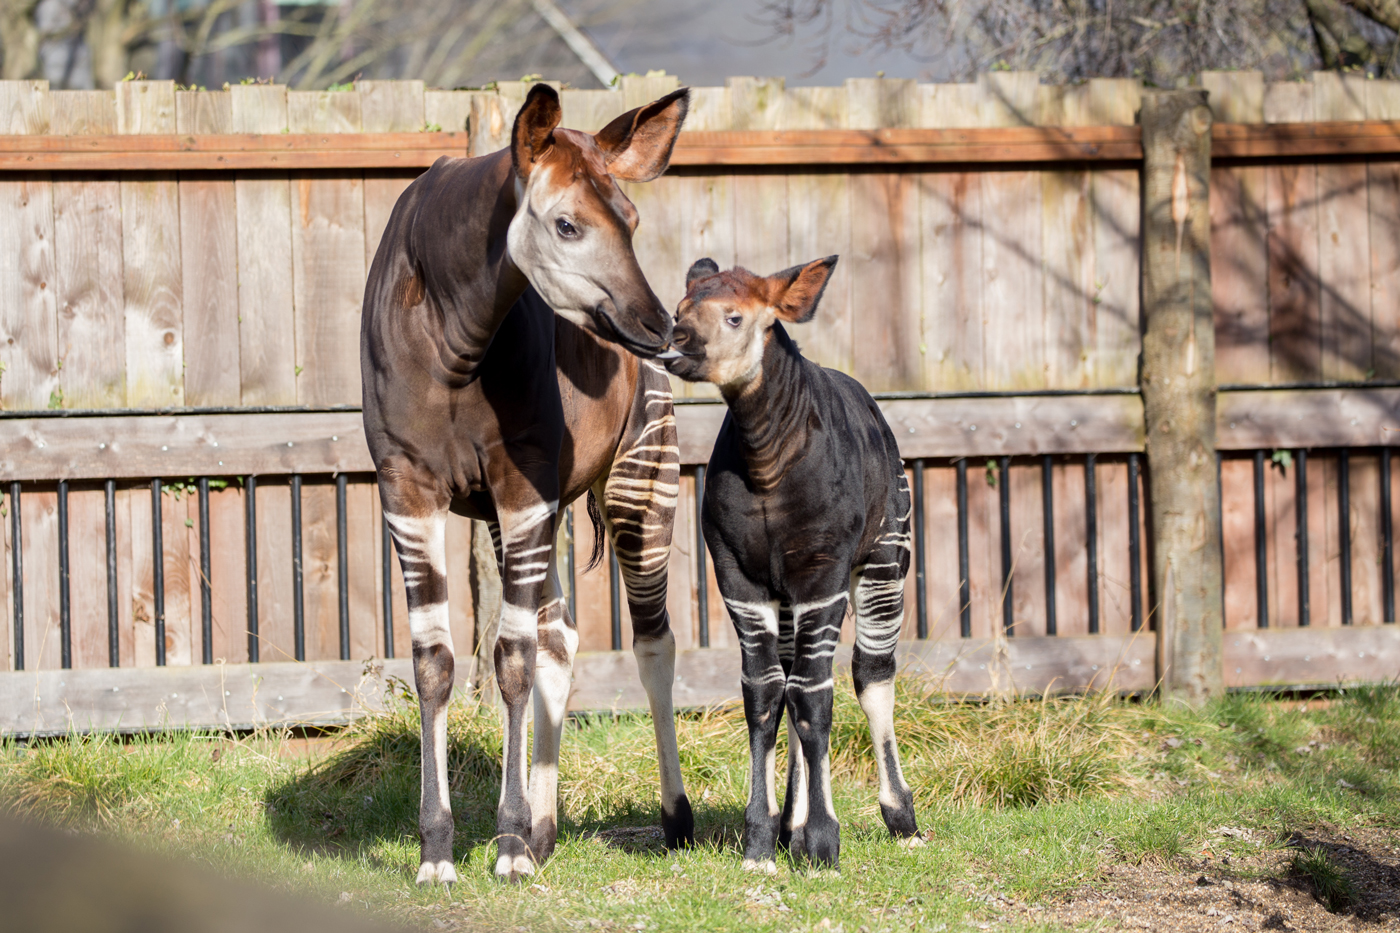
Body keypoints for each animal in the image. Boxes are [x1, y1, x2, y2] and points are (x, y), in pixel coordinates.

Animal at [358, 83, 691, 885]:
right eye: (567, 224)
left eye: (633, 221)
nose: (660, 328)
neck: (455, 337)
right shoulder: (409, 490)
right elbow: (437, 662)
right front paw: (439, 851)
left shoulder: (522, 486)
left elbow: (507, 660)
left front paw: (505, 844)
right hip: (553, 505)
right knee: (561, 634)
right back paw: (545, 829)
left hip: (641, 480)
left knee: (652, 641)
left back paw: (673, 818)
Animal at [660, 254, 924, 862]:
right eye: (678, 309)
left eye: (734, 317)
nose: (673, 347)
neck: (767, 461)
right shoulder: (741, 579)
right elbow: (764, 694)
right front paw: (761, 841)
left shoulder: (821, 575)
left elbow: (815, 700)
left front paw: (826, 842)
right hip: (789, 599)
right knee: (791, 679)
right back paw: (791, 828)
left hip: (883, 564)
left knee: (869, 673)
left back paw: (900, 818)